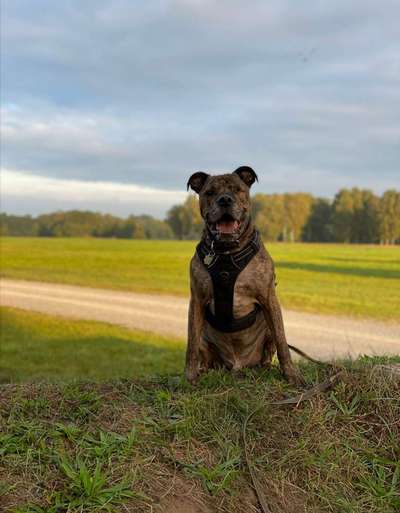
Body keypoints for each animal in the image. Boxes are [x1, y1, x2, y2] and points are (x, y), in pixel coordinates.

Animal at [184, 166, 304, 386]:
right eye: (209, 192)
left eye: (238, 190)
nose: (225, 200)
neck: (227, 252)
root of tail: (237, 364)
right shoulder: (197, 300)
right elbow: (191, 344)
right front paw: (190, 376)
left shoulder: (269, 298)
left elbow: (283, 343)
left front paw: (291, 374)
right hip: (207, 339)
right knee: (204, 353)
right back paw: (205, 370)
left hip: (267, 333)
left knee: (271, 348)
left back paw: (264, 368)